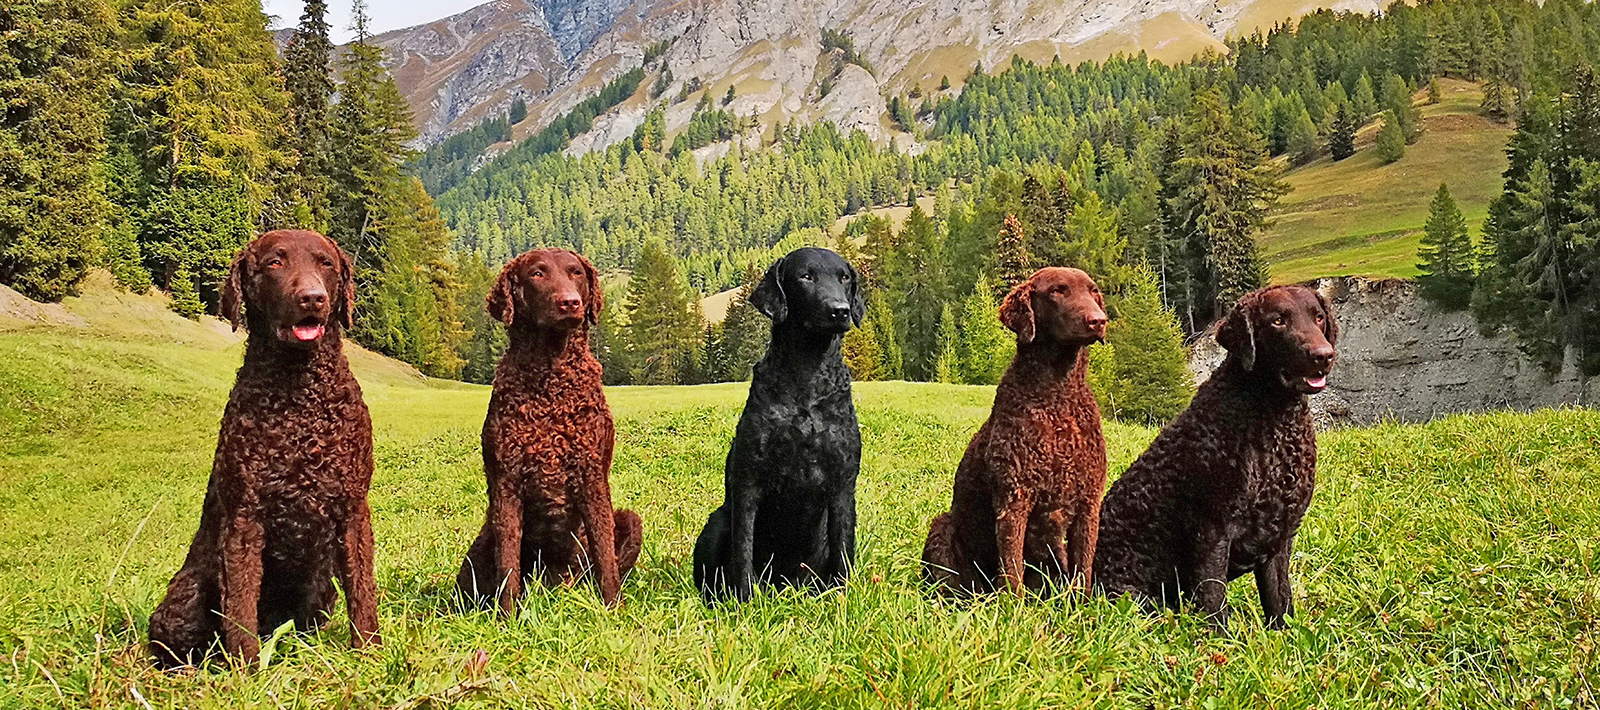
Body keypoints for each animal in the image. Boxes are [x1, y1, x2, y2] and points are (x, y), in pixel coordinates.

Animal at [150, 230, 380, 668]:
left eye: (326, 264)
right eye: (275, 262)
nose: (312, 298)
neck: (298, 395)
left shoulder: (353, 508)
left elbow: (364, 592)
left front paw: (368, 655)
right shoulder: (244, 518)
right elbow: (240, 609)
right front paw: (248, 671)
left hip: (320, 589)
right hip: (184, 599)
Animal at [454, 247, 640, 610]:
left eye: (576, 273)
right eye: (537, 274)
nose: (570, 302)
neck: (550, 380)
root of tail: (554, 585)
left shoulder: (592, 475)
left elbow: (604, 554)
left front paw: (614, 609)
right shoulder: (507, 483)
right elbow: (508, 565)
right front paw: (507, 618)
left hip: (629, 521)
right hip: (479, 548)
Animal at [688, 246, 864, 601]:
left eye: (844, 278)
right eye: (805, 276)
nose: (839, 311)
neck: (807, 382)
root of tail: (784, 585)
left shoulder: (843, 484)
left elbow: (843, 549)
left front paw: (842, 598)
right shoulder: (748, 483)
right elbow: (742, 551)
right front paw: (744, 600)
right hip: (718, 521)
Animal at [921, 265, 1107, 594]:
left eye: (1093, 290)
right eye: (1057, 290)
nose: (1098, 320)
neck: (1057, 400)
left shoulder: (1089, 503)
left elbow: (1083, 570)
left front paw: (1083, 606)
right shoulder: (1014, 498)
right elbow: (1011, 570)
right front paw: (1012, 605)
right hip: (943, 531)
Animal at [1100, 286, 1337, 630]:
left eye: (1318, 317)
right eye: (1278, 320)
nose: (1323, 355)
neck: (1274, 418)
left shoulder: (1280, 537)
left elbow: (1280, 603)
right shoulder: (1213, 530)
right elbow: (1214, 602)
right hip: (1133, 596)